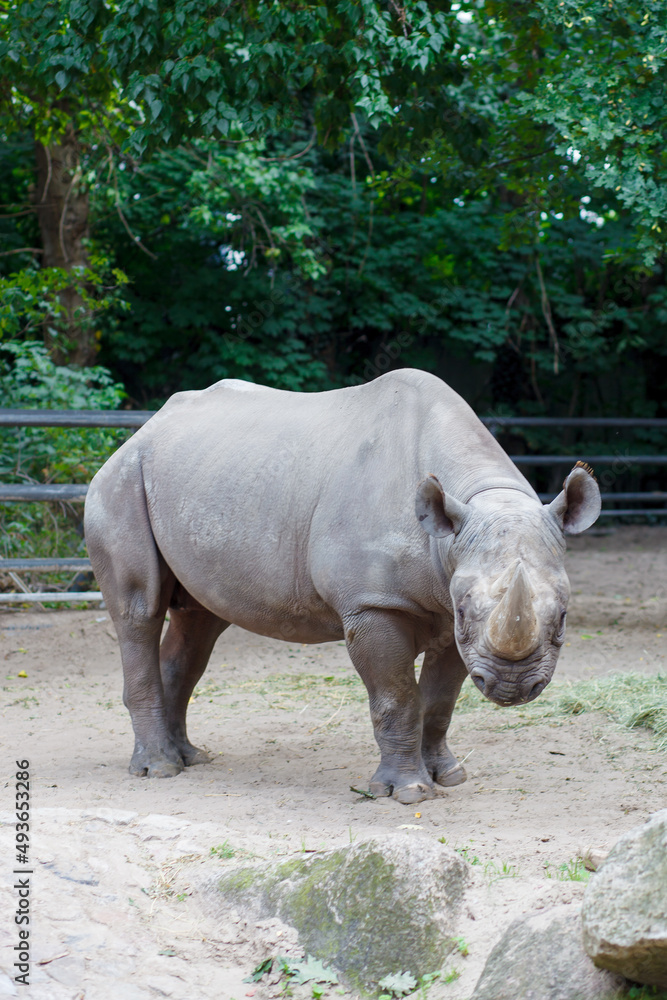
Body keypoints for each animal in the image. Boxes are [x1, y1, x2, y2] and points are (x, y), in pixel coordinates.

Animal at [84, 368, 600, 805]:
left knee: (199, 621)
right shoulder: (373, 606)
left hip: (199, 481)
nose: (513, 687)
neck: (476, 502)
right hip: (121, 483)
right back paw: (158, 770)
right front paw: (408, 792)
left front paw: (449, 776)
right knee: (139, 611)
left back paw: (190, 758)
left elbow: (440, 701)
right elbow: (397, 698)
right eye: (467, 609)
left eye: (563, 617)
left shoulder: (451, 613)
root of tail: (142, 431)